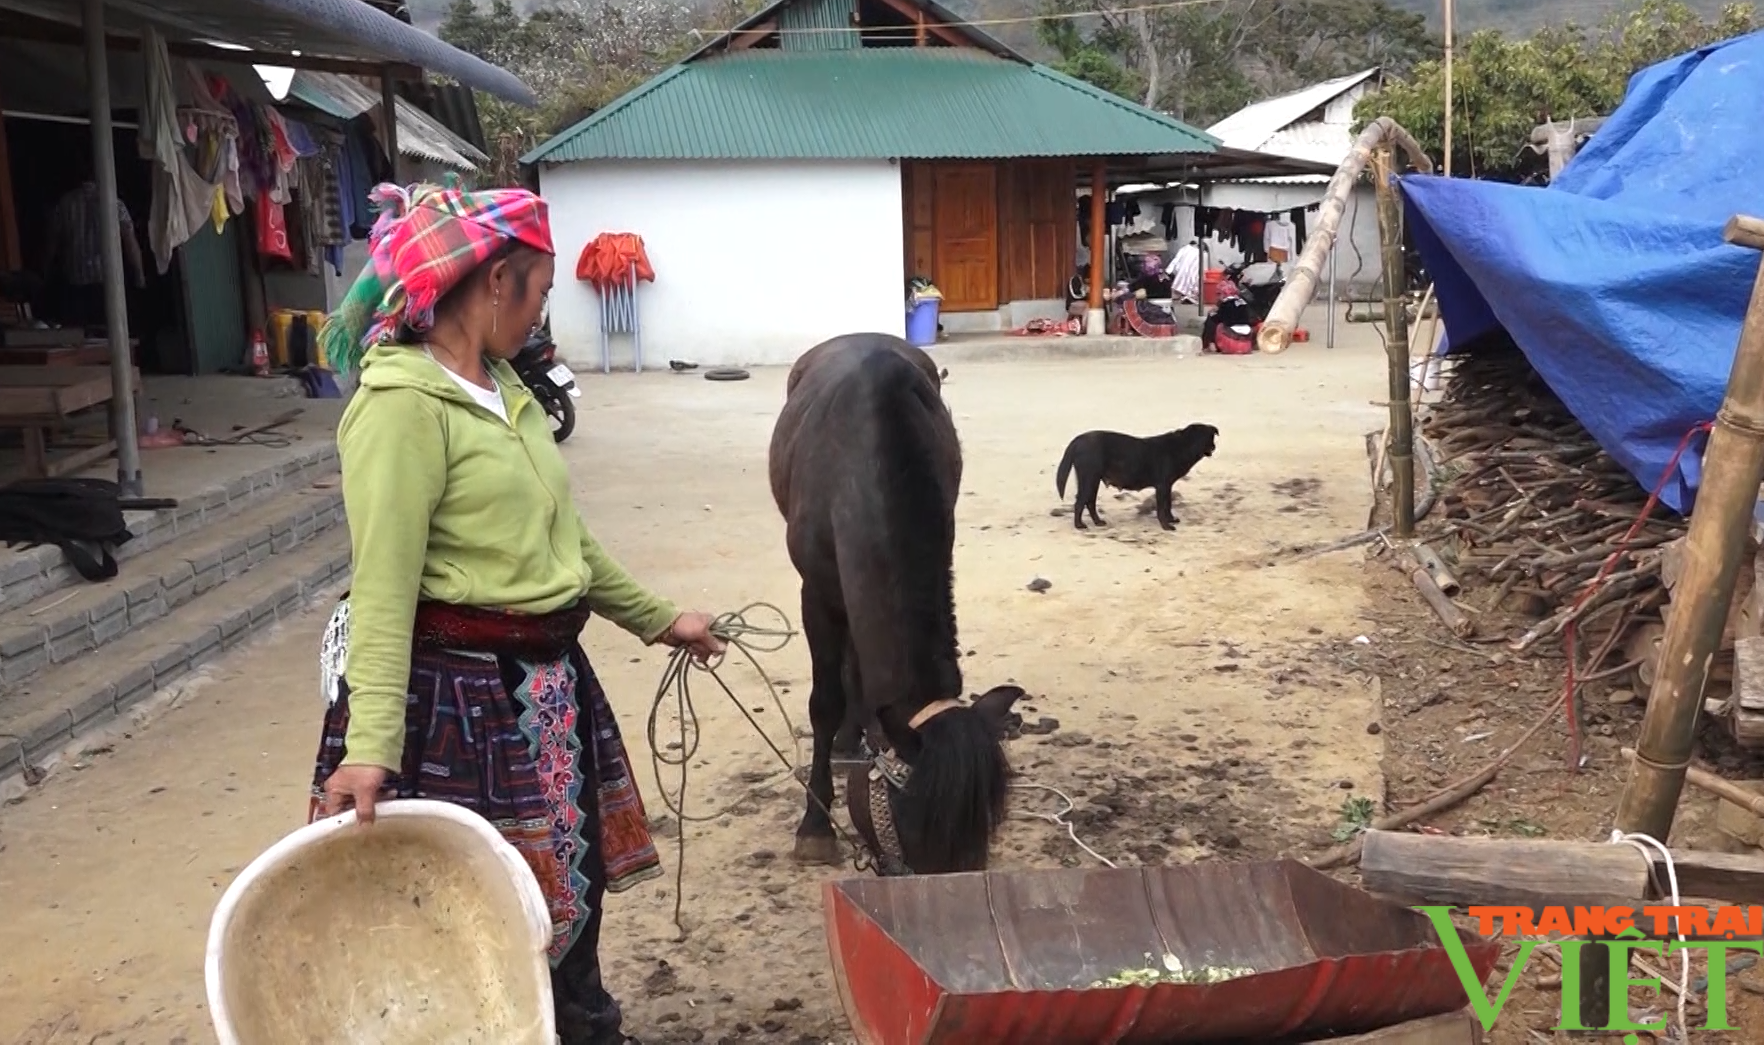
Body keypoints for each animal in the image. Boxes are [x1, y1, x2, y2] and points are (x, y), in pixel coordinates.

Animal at [1051, 421, 1220, 529]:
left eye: (1211, 436)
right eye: (1206, 437)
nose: (1214, 447)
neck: (1182, 446)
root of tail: (1076, 441)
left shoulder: (1167, 486)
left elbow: (1168, 505)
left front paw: (1171, 519)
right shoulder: (1162, 485)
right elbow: (1162, 507)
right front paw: (1166, 526)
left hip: (1093, 480)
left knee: (1090, 502)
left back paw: (1098, 522)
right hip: (1089, 478)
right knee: (1080, 502)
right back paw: (1079, 525)